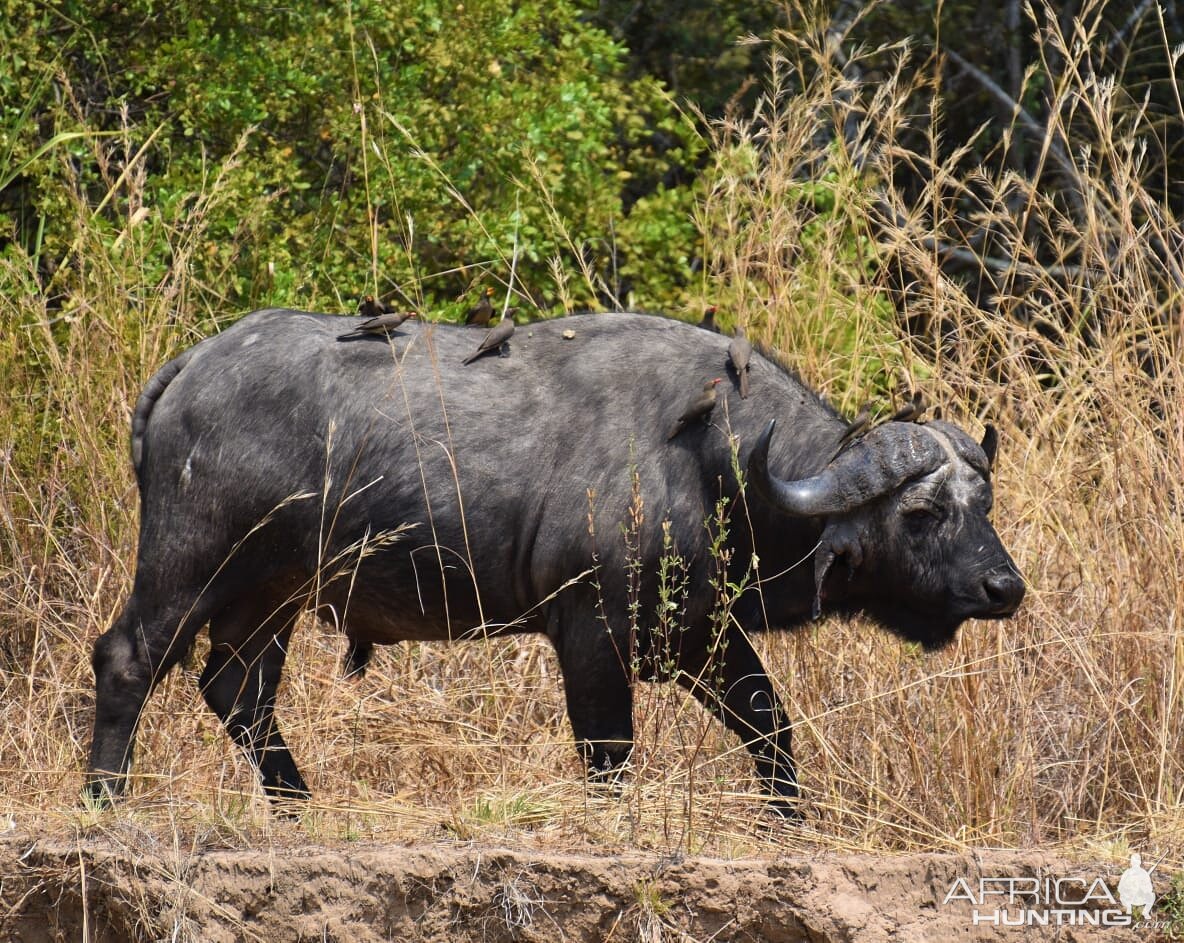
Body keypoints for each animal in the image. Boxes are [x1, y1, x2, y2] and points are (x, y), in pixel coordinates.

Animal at [87, 308, 1022, 810]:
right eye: (922, 512)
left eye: (984, 505)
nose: (1004, 586)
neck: (713, 459)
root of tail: (189, 367)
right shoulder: (591, 634)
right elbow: (609, 753)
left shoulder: (702, 639)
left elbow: (771, 727)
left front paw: (788, 820)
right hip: (193, 561)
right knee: (129, 657)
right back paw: (104, 796)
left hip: (272, 595)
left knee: (236, 690)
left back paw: (297, 802)